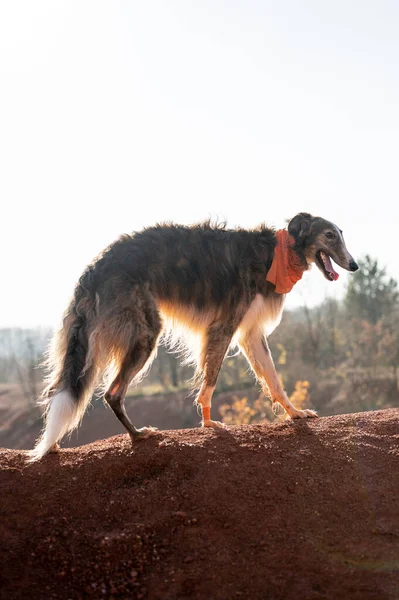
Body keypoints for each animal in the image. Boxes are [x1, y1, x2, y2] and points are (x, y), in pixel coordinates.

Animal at [28, 211, 360, 460]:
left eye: (341, 234)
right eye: (329, 235)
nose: (354, 265)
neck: (275, 253)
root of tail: (95, 268)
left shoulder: (250, 333)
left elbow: (274, 380)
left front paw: (295, 413)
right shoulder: (223, 327)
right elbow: (210, 379)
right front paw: (208, 421)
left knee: (65, 392)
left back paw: (55, 444)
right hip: (145, 333)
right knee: (112, 393)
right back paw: (137, 435)